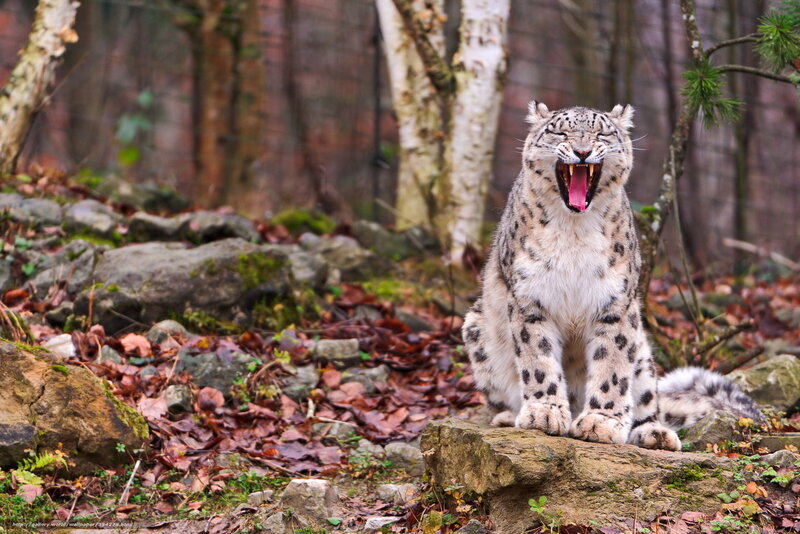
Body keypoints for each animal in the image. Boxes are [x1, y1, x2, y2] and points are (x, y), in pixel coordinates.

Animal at [462, 102, 762, 450]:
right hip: (476, 328)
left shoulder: (615, 302)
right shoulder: (530, 298)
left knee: (647, 400)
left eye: (602, 133)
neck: (574, 229)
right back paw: (509, 416)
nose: (582, 151)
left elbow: (612, 365)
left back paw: (655, 433)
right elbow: (538, 359)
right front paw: (544, 413)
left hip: (642, 352)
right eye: (560, 132)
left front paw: (601, 422)